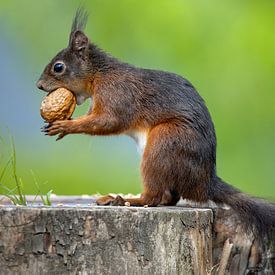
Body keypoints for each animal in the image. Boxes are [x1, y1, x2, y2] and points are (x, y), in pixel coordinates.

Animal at [37, 9, 275, 239]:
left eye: (58, 67)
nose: (39, 85)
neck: (100, 74)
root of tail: (205, 182)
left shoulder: (117, 94)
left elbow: (109, 122)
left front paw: (65, 126)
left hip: (164, 143)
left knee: (155, 196)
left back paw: (124, 200)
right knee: (170, 197)